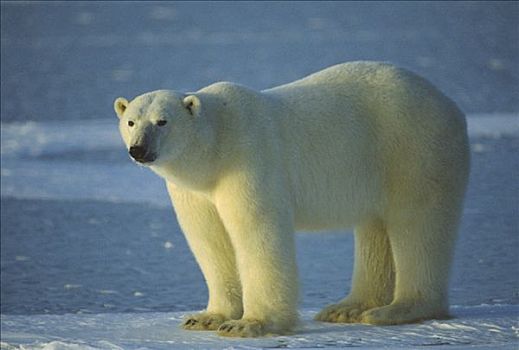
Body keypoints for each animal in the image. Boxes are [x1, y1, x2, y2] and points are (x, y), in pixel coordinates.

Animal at [114, 61, 472, 338]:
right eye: (130, 121)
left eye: (162, 121)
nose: (138, 149)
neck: (218, 145)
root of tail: (449, 103)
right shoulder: (195, 192)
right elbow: (210, 240)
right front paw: (206, 317)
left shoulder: (250, 161)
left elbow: (257, 233)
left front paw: (249, 324)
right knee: (375, 228)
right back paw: (347, 308)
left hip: (413, 150)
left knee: (417, 225)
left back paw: (399, 309)